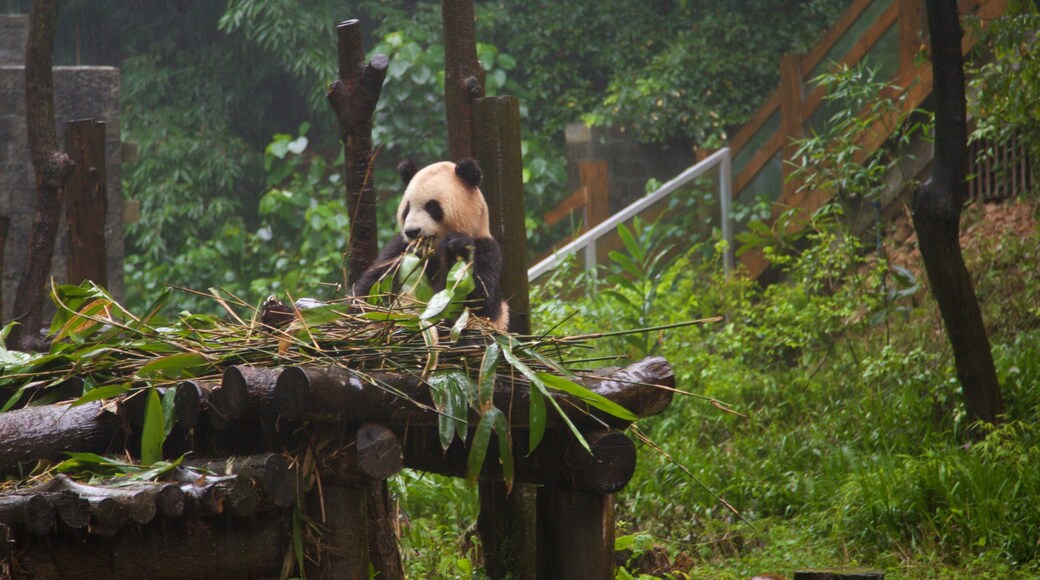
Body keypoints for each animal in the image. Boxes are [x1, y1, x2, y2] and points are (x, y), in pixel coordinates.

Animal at [351, 157, 509, 332]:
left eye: (432, 206)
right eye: (407, 208)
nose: (412, 231)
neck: (432, 251)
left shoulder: (485, 249)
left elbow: (476, 301)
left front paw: (456, 246)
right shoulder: (400, 250)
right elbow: (370, 287)